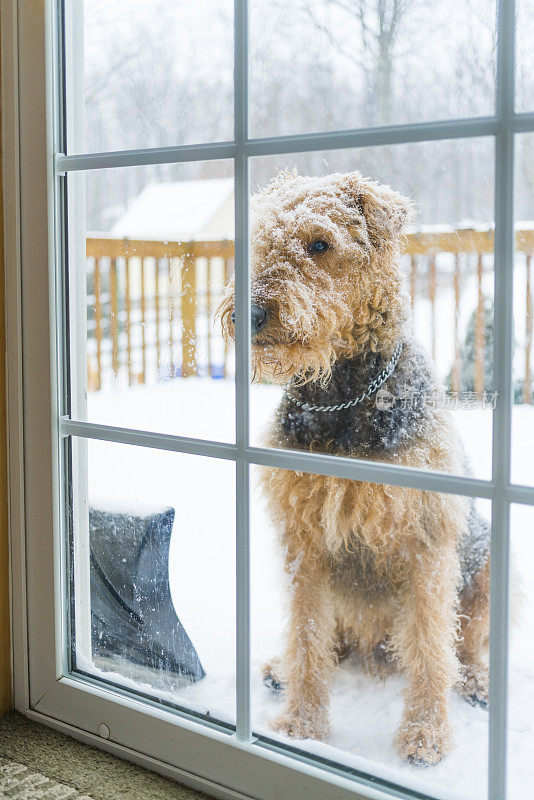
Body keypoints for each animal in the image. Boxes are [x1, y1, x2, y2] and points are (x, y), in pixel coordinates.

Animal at [217, 172, 490, 764]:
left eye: (320, 243)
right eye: (259, 241)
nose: (249, 315)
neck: (342, 397)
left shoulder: (426, 541)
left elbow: (431, 645)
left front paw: (425, 734)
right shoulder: (303, 540)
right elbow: (305, 633)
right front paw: (301, 723)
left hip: (484, 567)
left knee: (465, 644)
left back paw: (476, 681)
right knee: (329, 641)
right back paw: (281, 670)